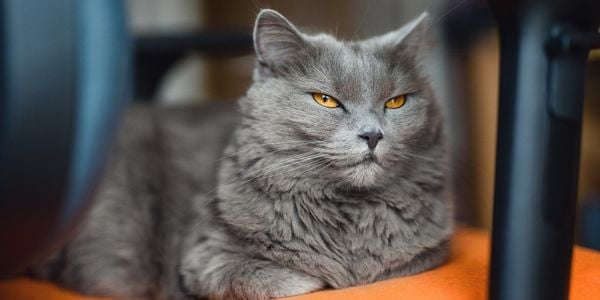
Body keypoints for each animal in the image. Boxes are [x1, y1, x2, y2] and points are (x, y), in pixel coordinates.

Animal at [32, 9, 452, 300]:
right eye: (326, 100)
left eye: (396, 102)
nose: (372, 135)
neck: (347, 215)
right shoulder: (206, 257)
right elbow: (278, 279)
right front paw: (321, 277)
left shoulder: (432, 252)